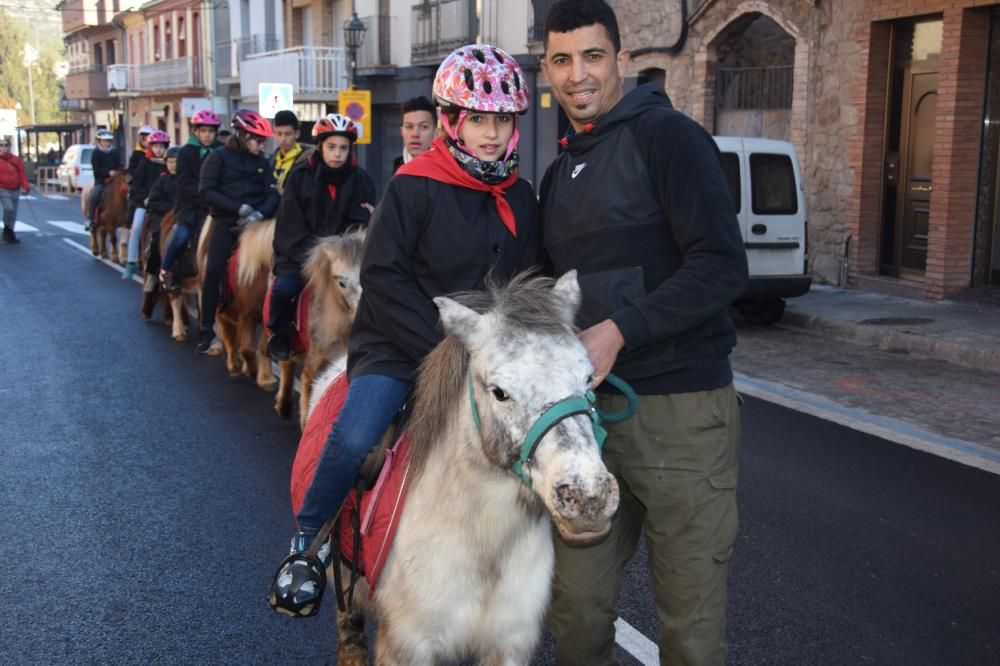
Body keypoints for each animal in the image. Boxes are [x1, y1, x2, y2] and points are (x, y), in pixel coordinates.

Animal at [196, 213, 278, 390]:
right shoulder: (246, 317)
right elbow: (247, 348)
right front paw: (252, 372)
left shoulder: (267, 322)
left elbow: (262, 348)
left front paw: (266, 379)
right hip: (220, 310)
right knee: (229, 336)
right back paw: (234, 364)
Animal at [304, 272, 620, 664]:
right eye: (500, 392)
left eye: (589, 378)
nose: (588, 496)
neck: (484, 548)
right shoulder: (408, 645)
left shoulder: (510, 643)